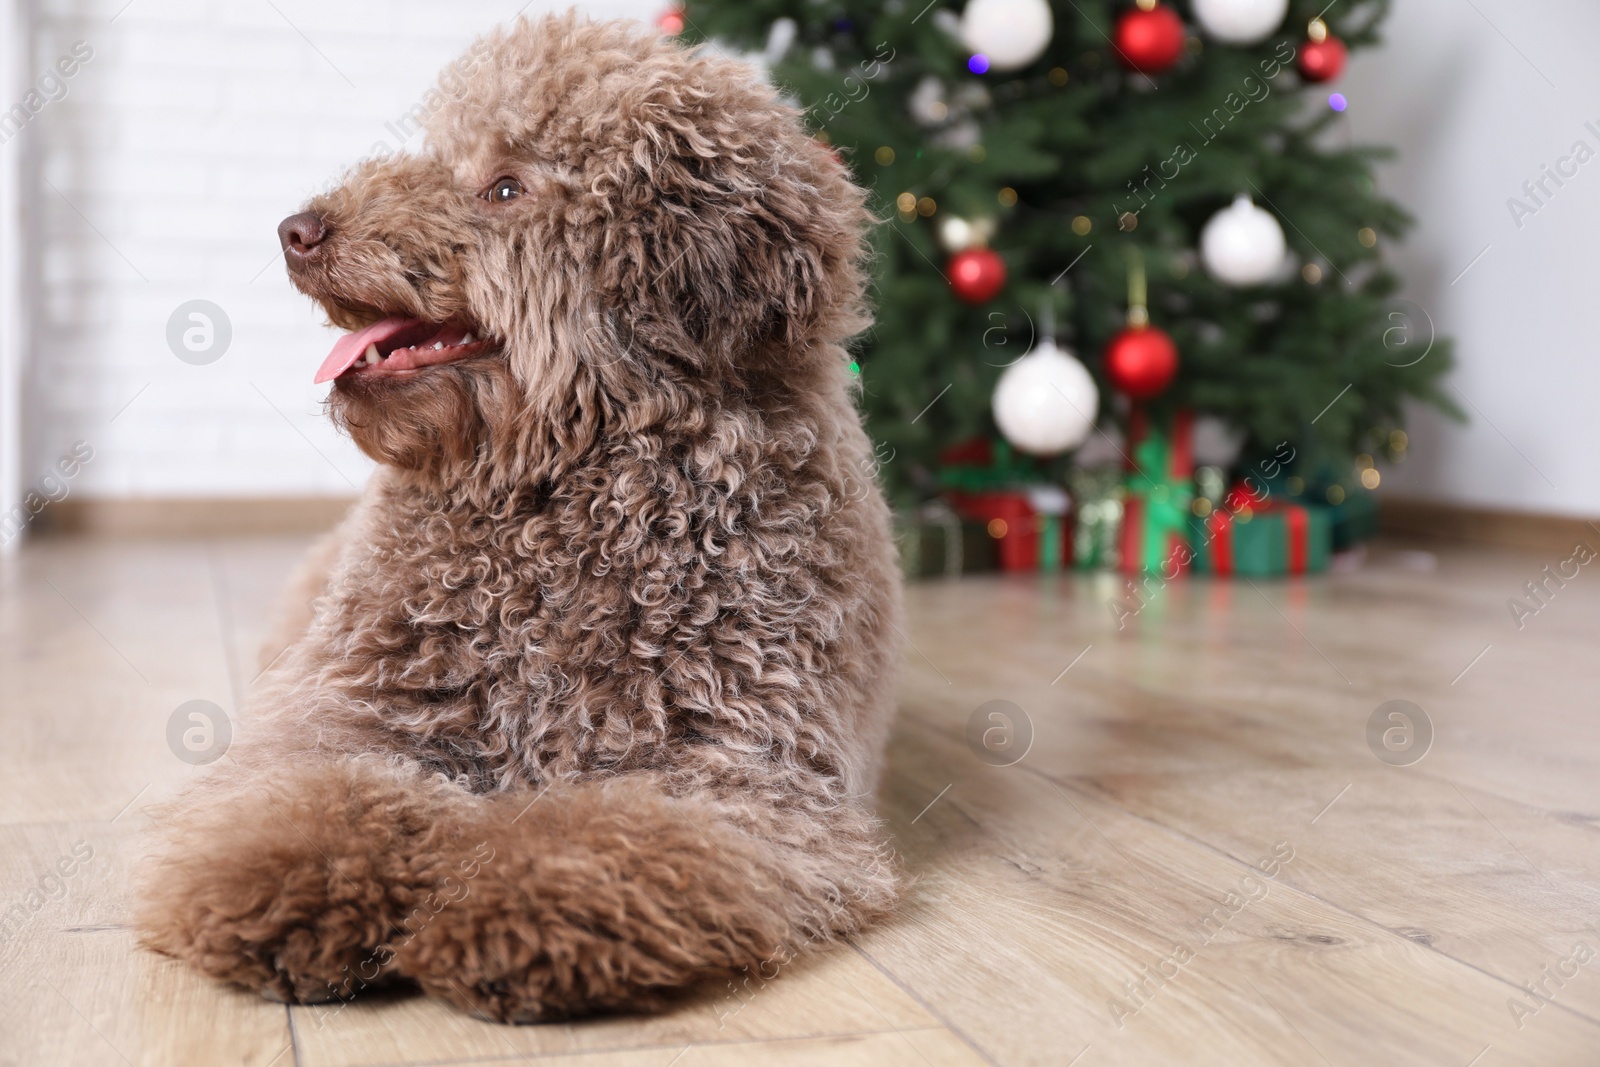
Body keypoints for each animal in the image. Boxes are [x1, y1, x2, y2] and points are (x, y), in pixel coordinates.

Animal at [136, 10, 902, 1023]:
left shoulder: (736, 763)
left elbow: (608, 835)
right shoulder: (353, 713)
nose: (298, 229)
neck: (559, 495)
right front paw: (296, 884)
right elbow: (316, 797)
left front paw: (513, 916)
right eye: (438, 150)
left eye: (507, 187)